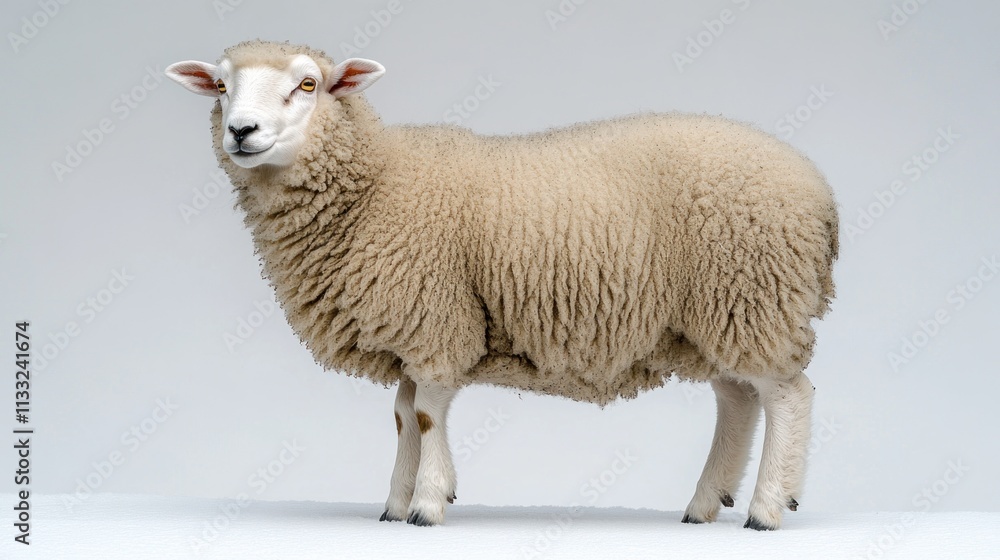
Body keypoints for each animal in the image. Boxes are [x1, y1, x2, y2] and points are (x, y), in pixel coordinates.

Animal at [166, 40, 839, 530]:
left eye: (307, 84)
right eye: (221, 86)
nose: (241, 131)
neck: (375, 183)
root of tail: (816, 188)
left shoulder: (436, 318)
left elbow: (427, 415)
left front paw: (427, 505)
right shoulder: (411, 329)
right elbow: (402, 415)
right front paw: (394, 503)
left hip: (754, 293)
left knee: (788, 395)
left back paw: (766, 510)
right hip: (719, 312)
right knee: (738, 399)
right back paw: (703, 504)